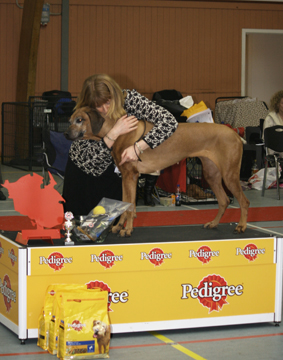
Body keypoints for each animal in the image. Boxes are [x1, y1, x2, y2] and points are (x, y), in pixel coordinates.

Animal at [65, 106, 250, 236]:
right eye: (70, 120)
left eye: (80, 119)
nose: (66, 135)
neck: (117, 131)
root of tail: (235, 134)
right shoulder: (125, 176)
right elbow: (125, 203)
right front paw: (118, 227)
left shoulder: (131, 176)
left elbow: (130, 206)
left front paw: (127, 230)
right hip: (211, 174)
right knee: (224, 200)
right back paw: (213, 223)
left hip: (229, 174)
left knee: (244, 201)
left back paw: (241, 226)